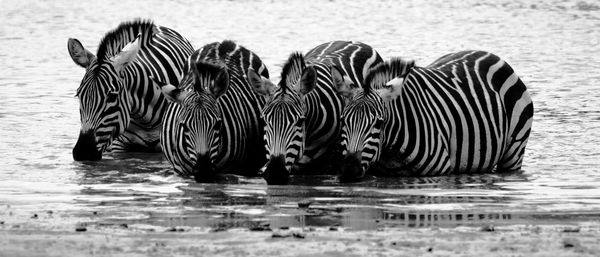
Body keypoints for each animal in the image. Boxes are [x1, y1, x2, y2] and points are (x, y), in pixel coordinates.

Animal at [151, 40, 270, 181]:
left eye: (218, 124)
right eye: (184, 127)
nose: (204, 172)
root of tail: (225, 44)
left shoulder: (230, 171)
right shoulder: (179, 170)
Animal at [338, 50, 536, 181]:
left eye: (378, 124)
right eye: (342, 121)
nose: (349, 169)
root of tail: (492, 55)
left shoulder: (440, 170)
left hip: (514, 152)